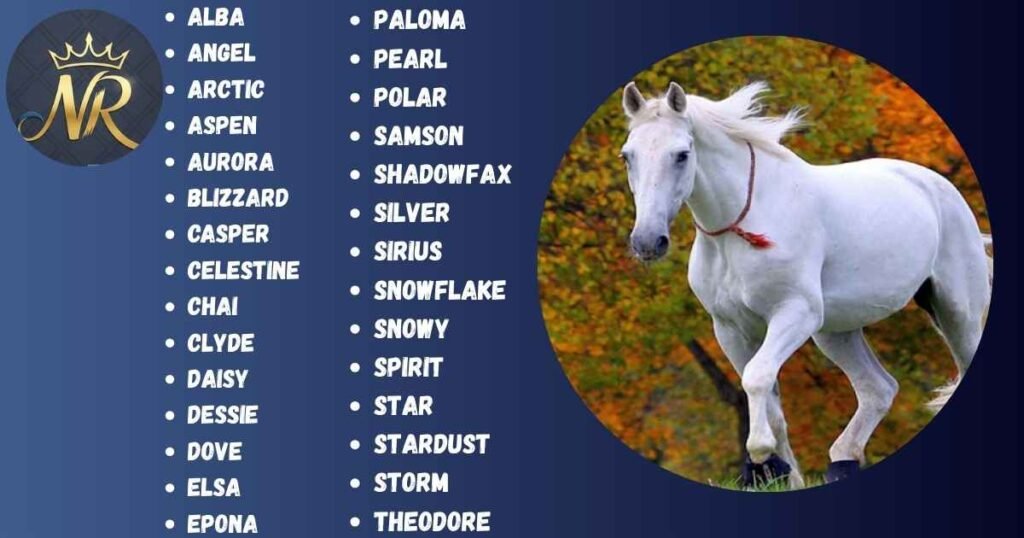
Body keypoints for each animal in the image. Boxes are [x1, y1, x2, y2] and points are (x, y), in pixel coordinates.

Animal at [619, 81, 992, 487]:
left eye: (682, 154)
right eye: (628, 156)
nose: (647, 242)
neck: (743, 225)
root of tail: (939, 187)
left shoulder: (795, 314)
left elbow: (757, 377)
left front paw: (760, 452)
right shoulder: (731, 329)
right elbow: (771, 404)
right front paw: (782, 475)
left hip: (956, 312)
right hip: (836, 332)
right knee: (877, 390)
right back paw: (841, 462)